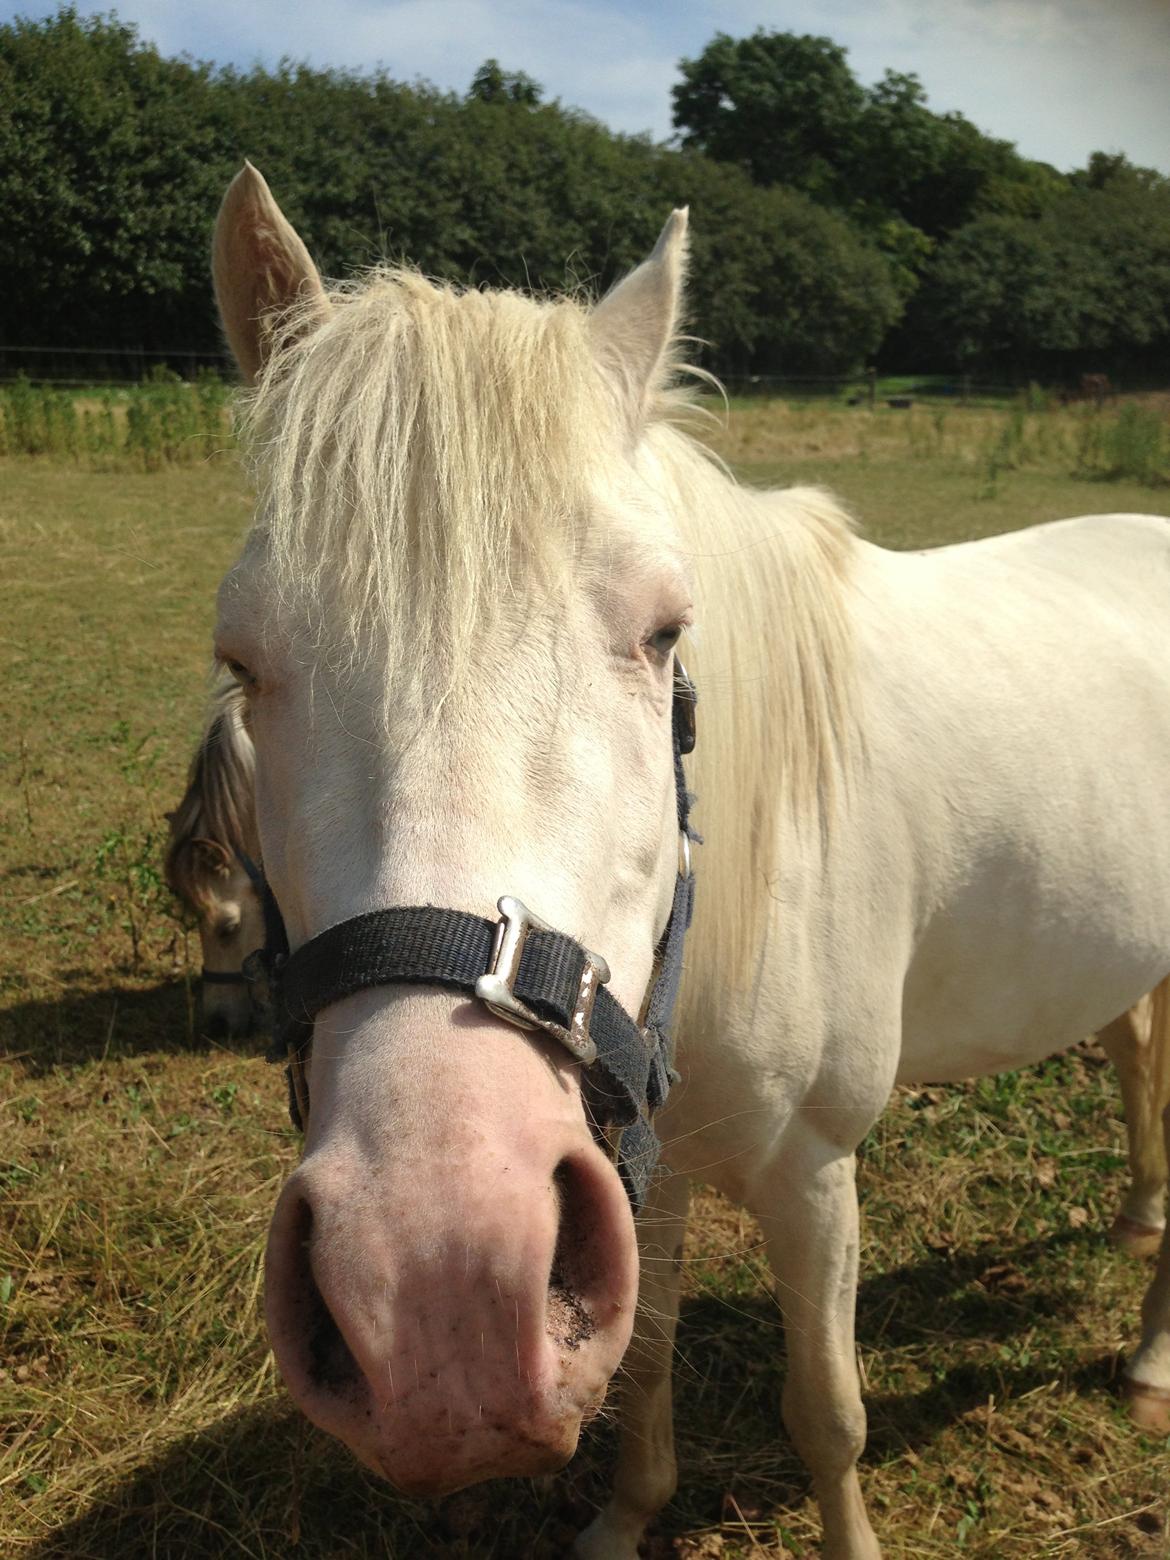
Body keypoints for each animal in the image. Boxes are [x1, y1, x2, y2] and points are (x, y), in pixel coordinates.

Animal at [209, 163, 1170, 1559]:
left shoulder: (814, 1172)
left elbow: (827, 1413)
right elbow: (643, 1361)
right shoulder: (627, 1169)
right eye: (241, 660)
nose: (435, 1292)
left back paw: (1151, 1362)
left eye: (666, 632)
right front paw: (625, 1521)